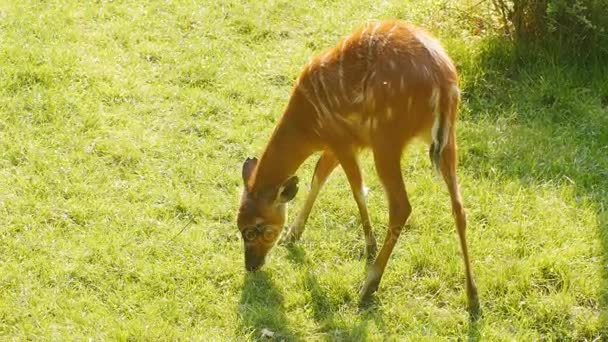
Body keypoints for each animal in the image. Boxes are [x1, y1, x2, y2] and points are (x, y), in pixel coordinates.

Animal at [238, 20, 480, 312]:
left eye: (256, 229)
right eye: (239, 226)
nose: (251, 265)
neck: (307, 126)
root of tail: (443, 83)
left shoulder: (341, 139)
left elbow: (356, 189)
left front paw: (369, 245)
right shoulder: (337, 143)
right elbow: (318, 178)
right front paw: (293, 234)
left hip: (386, 137)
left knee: (401, 206)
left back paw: (368, 286)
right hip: (447, 139)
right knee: (459, 207)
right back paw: (473, 296)